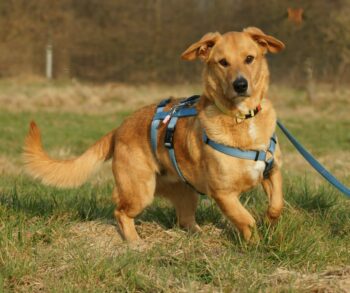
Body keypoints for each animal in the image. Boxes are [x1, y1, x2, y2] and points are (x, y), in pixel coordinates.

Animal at [23, 26, 286, 242]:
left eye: (249, 58)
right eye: (223, 62)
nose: (240, 85)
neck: (241, 118)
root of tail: (119, 128)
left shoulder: (271, 172)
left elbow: (277, 204)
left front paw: (269, 223)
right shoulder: (223, 193)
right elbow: (245, 220)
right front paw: (255, 244)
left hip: (186, 192)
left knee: (185, 220)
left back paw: (201, 236)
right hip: (140, 190)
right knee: (121, 211)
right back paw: (135, 243)